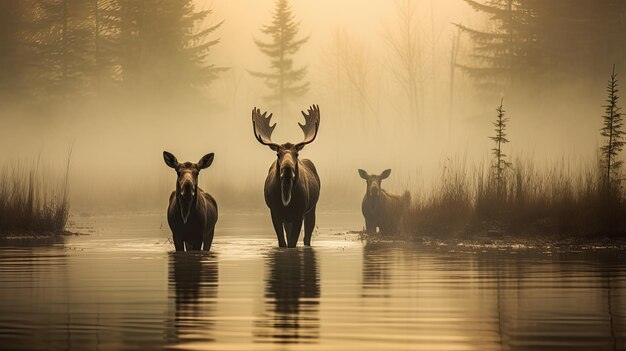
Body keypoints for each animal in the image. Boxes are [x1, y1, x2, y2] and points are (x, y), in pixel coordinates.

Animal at [251, 104, 322, 248]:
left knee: (307, 237)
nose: (287, 169)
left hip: (312, 209)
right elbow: (283, 242)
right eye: (278, 154)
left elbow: (293, 243)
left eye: (297, 154)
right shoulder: (275, 212)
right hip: (288, 218)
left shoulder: (299, 213)